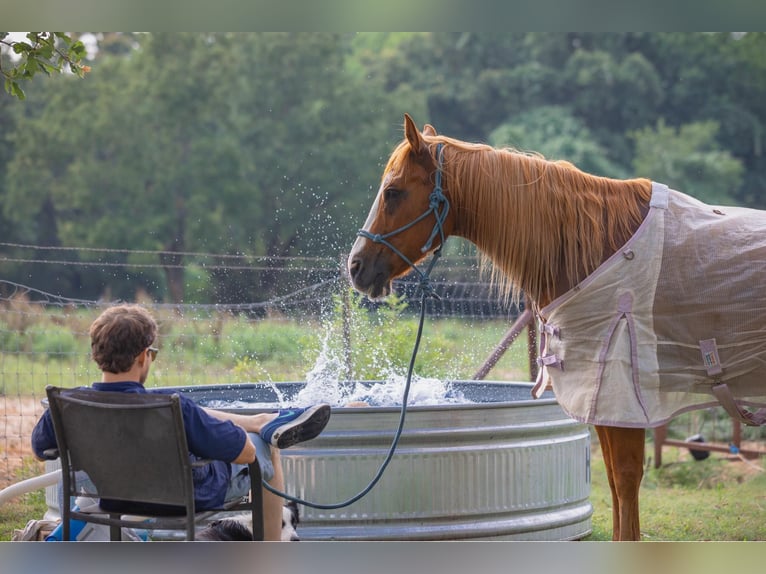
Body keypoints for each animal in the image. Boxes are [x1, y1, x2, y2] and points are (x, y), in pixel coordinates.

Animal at [348, 115, 766, 544]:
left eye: (393, 191)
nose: (355, 267)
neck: (596, 250)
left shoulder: (621, 401)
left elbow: (625, 482)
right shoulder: (601, 401)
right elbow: (615, 485)